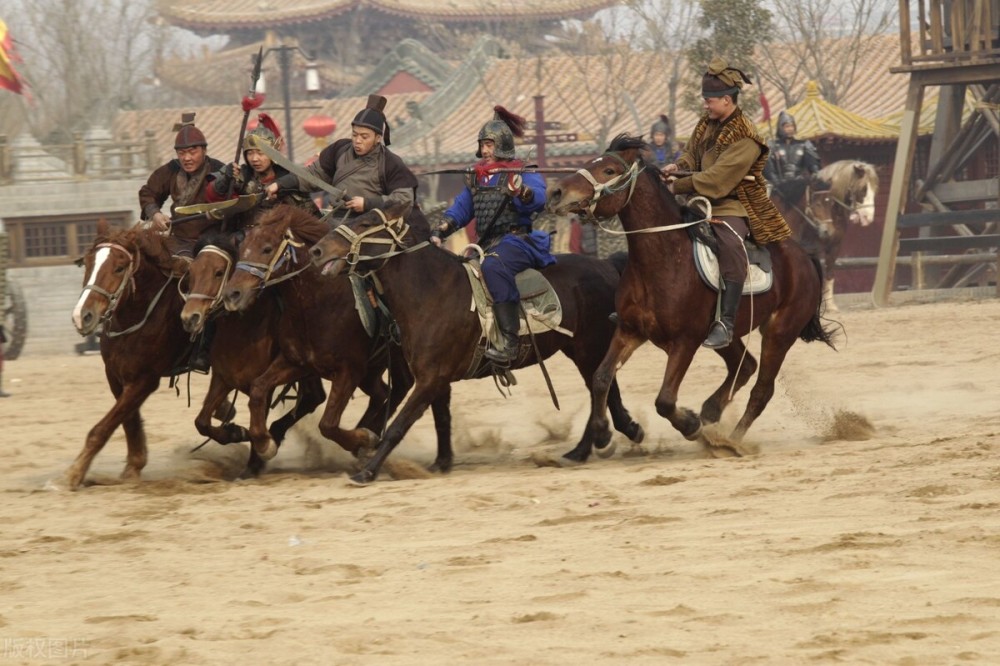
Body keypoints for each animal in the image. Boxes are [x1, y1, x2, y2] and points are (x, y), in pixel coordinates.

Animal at [69, 222, 193, 488]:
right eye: (88, 263)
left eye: (119, 267)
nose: (82, 316)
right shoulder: (116, 376)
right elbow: (128, 420)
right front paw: (134, 467)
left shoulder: (145, 380)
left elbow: (103, 428)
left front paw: (74, 473)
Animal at [176, 231, 324, 474]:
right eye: (191, 273)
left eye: (218, 272)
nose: (190, 318)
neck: (244, 332)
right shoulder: (222, 378)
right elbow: (202, 421)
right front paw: (236, 432)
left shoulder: (267, 383)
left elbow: (257, 418)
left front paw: (257, 458)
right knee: (314, 397)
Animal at [219, 205, 418, 464]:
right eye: (242, 248)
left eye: (267, 248)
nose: (232, 294)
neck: (318, 305)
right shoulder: (296, 363)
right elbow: (258, 389)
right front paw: (264, 444)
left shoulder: (348, 371)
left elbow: (328, 425)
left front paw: (364, 439)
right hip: (377, 366)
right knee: (385, 391)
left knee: (400, 387)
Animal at [308, 200, 644, 480]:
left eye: (365, 223)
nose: (317, 251)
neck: (431, 291)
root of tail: (605, 266)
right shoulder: (436, 378)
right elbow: (441, 418)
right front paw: (441, 462)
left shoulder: (430, 378)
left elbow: (398, 426)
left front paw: (367, 470)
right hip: (580, 348)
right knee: (603, 386)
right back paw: (593, 444)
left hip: (588, 347)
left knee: (602, 386)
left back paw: (605, 436)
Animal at [772, 160, 876, 310]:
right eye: (863, 189)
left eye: (875, 190)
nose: (868, 217)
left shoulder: (834, 246)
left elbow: (828, 274)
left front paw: (830, 305)